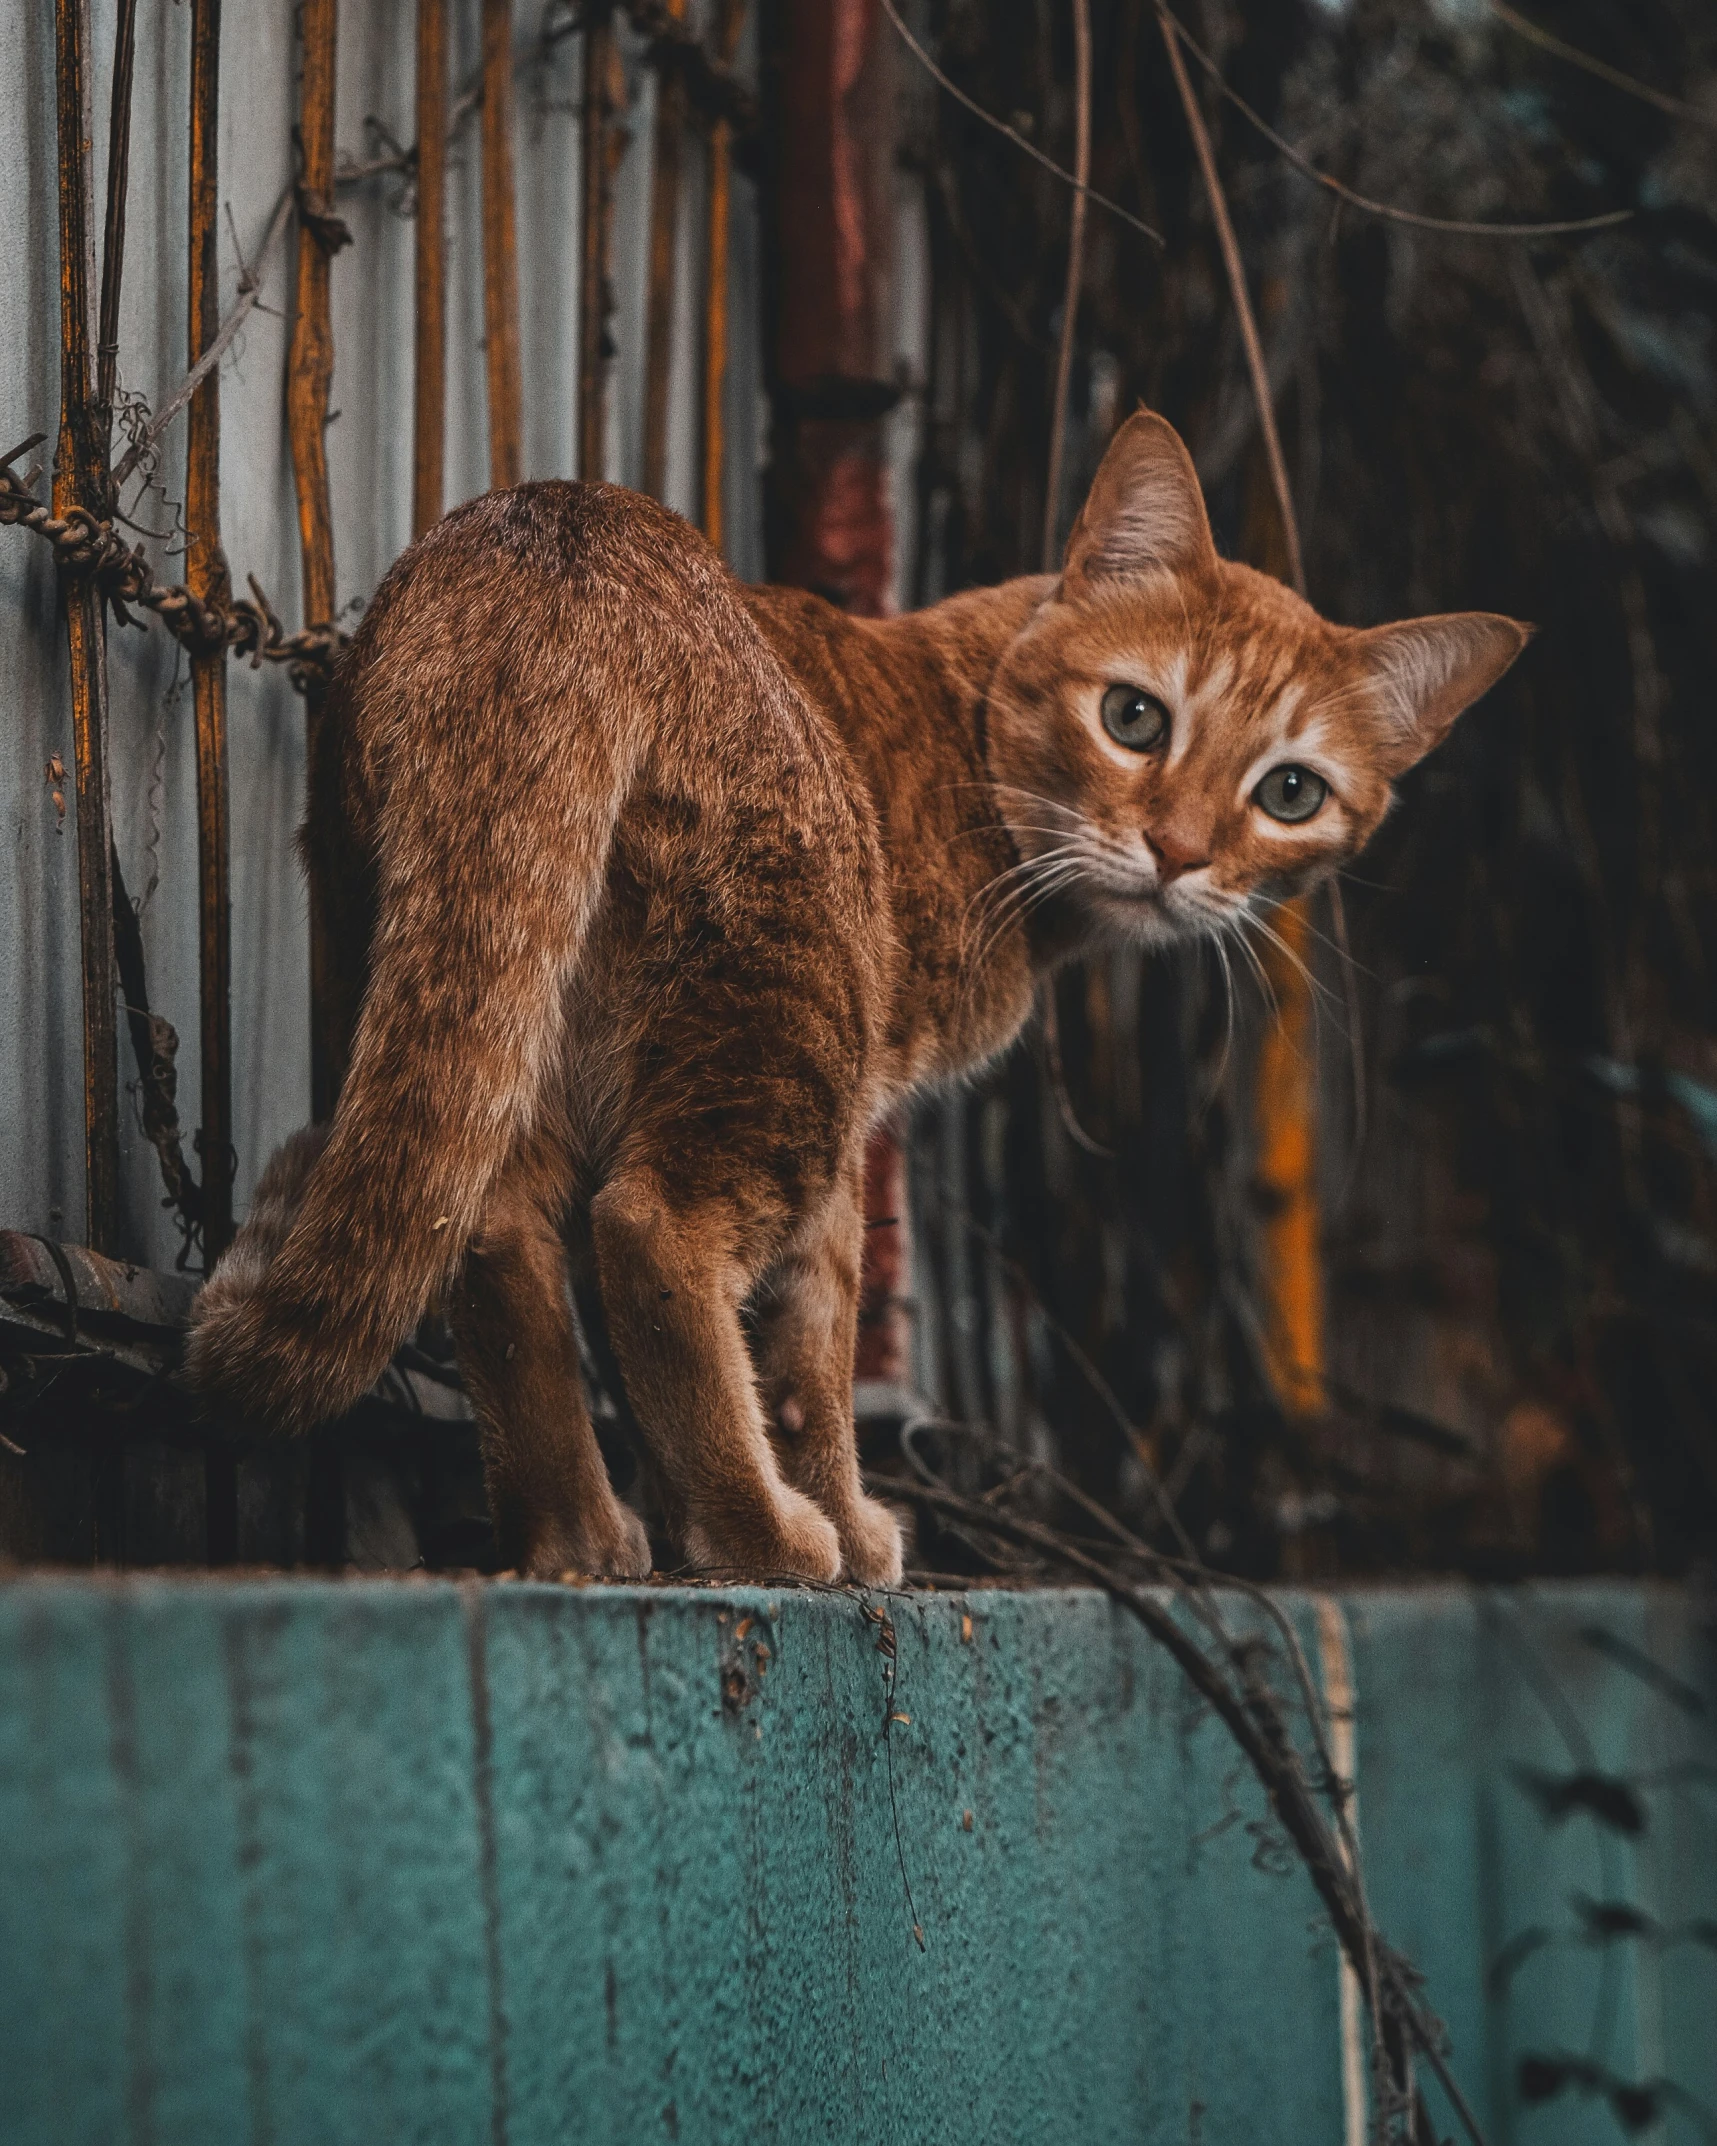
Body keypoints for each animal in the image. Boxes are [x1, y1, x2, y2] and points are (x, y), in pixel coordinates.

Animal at [187, 414, 1528, 1579]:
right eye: (1134, 716)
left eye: (1290, 792)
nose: (1180, 853)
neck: (958, 717)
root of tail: (552, 531)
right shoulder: (856, 1125)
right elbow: (814, 1366)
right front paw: (834, 1514)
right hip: (792, 1029)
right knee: (652, 1234)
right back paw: (758, 1532)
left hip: (463, 980)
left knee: (486, 1226)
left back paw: (576, 1535)